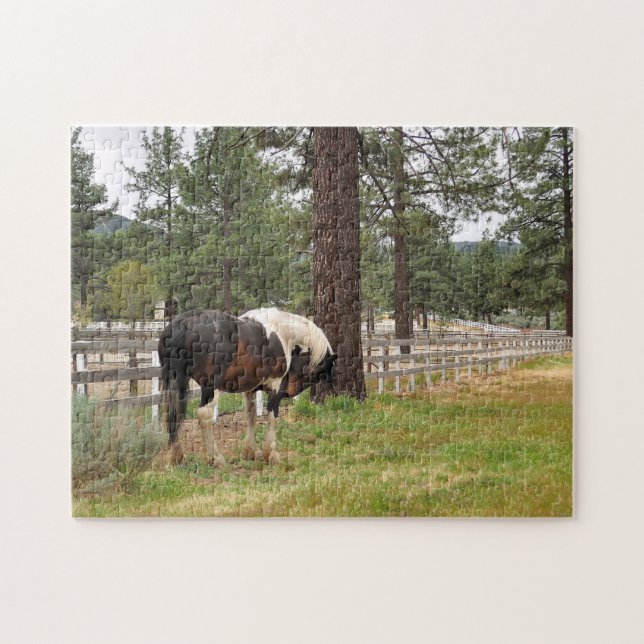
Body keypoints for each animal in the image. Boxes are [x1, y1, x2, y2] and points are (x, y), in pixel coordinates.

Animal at [158, 308, 336, 466]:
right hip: (209, 387)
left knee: (172, 414)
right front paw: (270, 454)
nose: (290, 392)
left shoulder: (250, 390)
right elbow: (272, 417)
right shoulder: (275, 386)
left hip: (175, 382)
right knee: (204, 415)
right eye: (322, 370)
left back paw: (177, 456)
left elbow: (251, 416)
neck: (283, 334)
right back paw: (214, 458)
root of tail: (182, 324)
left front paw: (250, 451)